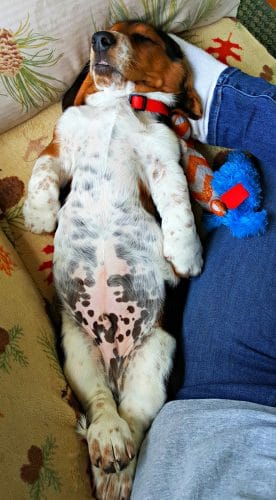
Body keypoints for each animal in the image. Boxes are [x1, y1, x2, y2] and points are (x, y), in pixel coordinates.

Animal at [23, 20, 203, 500]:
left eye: (142, 37)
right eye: (107, 32)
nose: (99, 40)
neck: (119, 104)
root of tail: (115, 359)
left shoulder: (164, 160)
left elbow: (178, 202)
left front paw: (186, 254)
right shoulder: (59, 148)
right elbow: (41, 173)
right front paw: (39, 215)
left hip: (158, 359)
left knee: (136, 423)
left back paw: (116, 471)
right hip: (76, 352)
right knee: (103, 406)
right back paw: (107, 442)